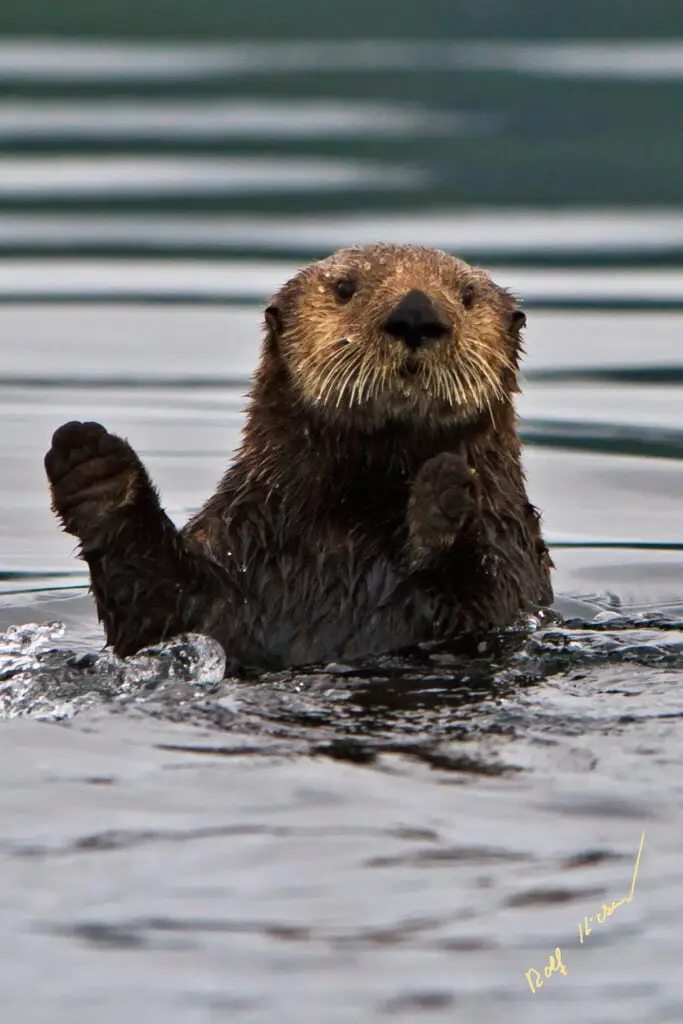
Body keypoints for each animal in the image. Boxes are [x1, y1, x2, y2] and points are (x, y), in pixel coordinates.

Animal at [44, 244, 552, 673]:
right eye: (344, 288)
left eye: (467, 296)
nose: (415, 314)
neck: (359, 515)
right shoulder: (230, 548)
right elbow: (151, 610)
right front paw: (96, 470)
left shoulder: (514, 558)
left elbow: (488, 604)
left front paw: (445, 492)